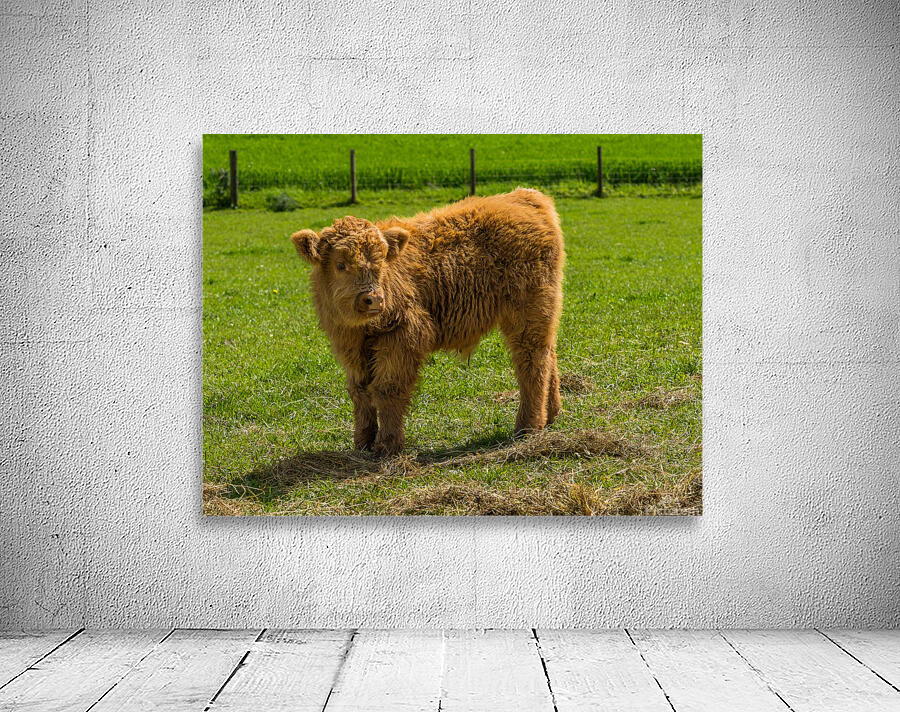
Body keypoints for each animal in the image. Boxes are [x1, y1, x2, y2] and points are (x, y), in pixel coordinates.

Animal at [290, 188, 565, 456]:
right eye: (341, 264)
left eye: (381, 262)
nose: (374, 298)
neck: (362, 329)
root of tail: (525, 196)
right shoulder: (350, 348)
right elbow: (360, 393)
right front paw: (362, 443)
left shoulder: (403, 339)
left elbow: (387, 389)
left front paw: (388, 445)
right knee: (548, 355)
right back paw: (551, 414)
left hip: (528, 314)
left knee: (531, 363)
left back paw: (528, 427)